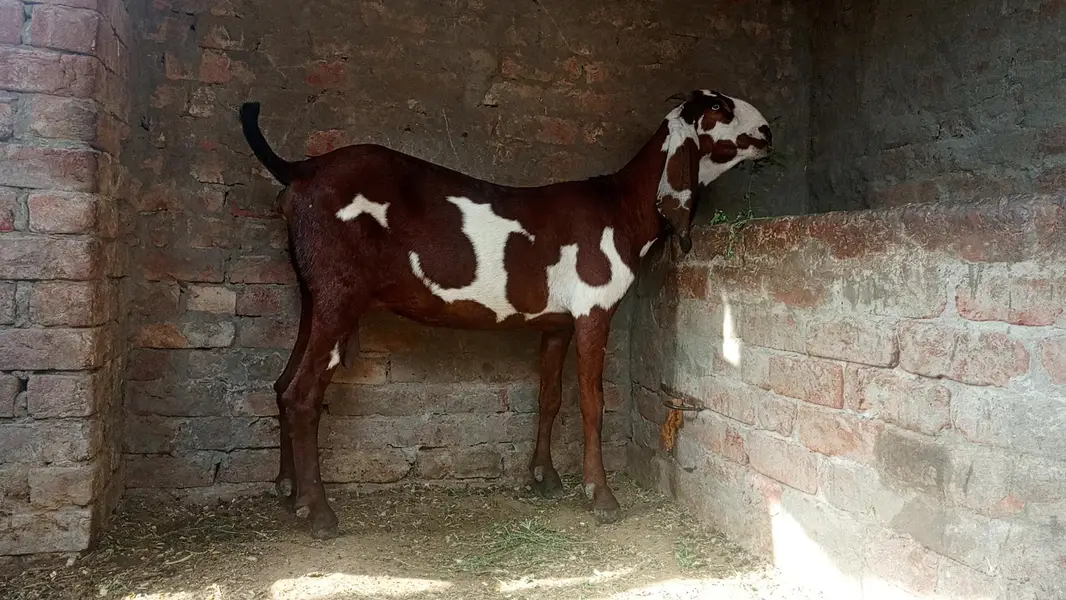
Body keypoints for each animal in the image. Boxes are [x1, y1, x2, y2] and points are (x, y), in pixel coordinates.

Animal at [238, 89, 772, 539]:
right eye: (719, 107)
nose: (768, 131)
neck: (620, 205)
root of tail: (302, 169)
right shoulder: (593, 310)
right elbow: (592, 402)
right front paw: (600, 496)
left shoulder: (557, 325)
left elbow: (550, 396)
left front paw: (544, 476)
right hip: (340, 294)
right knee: (304, 393)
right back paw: (319, 514)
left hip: (314, 294)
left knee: (283, 384)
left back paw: (289, 493)